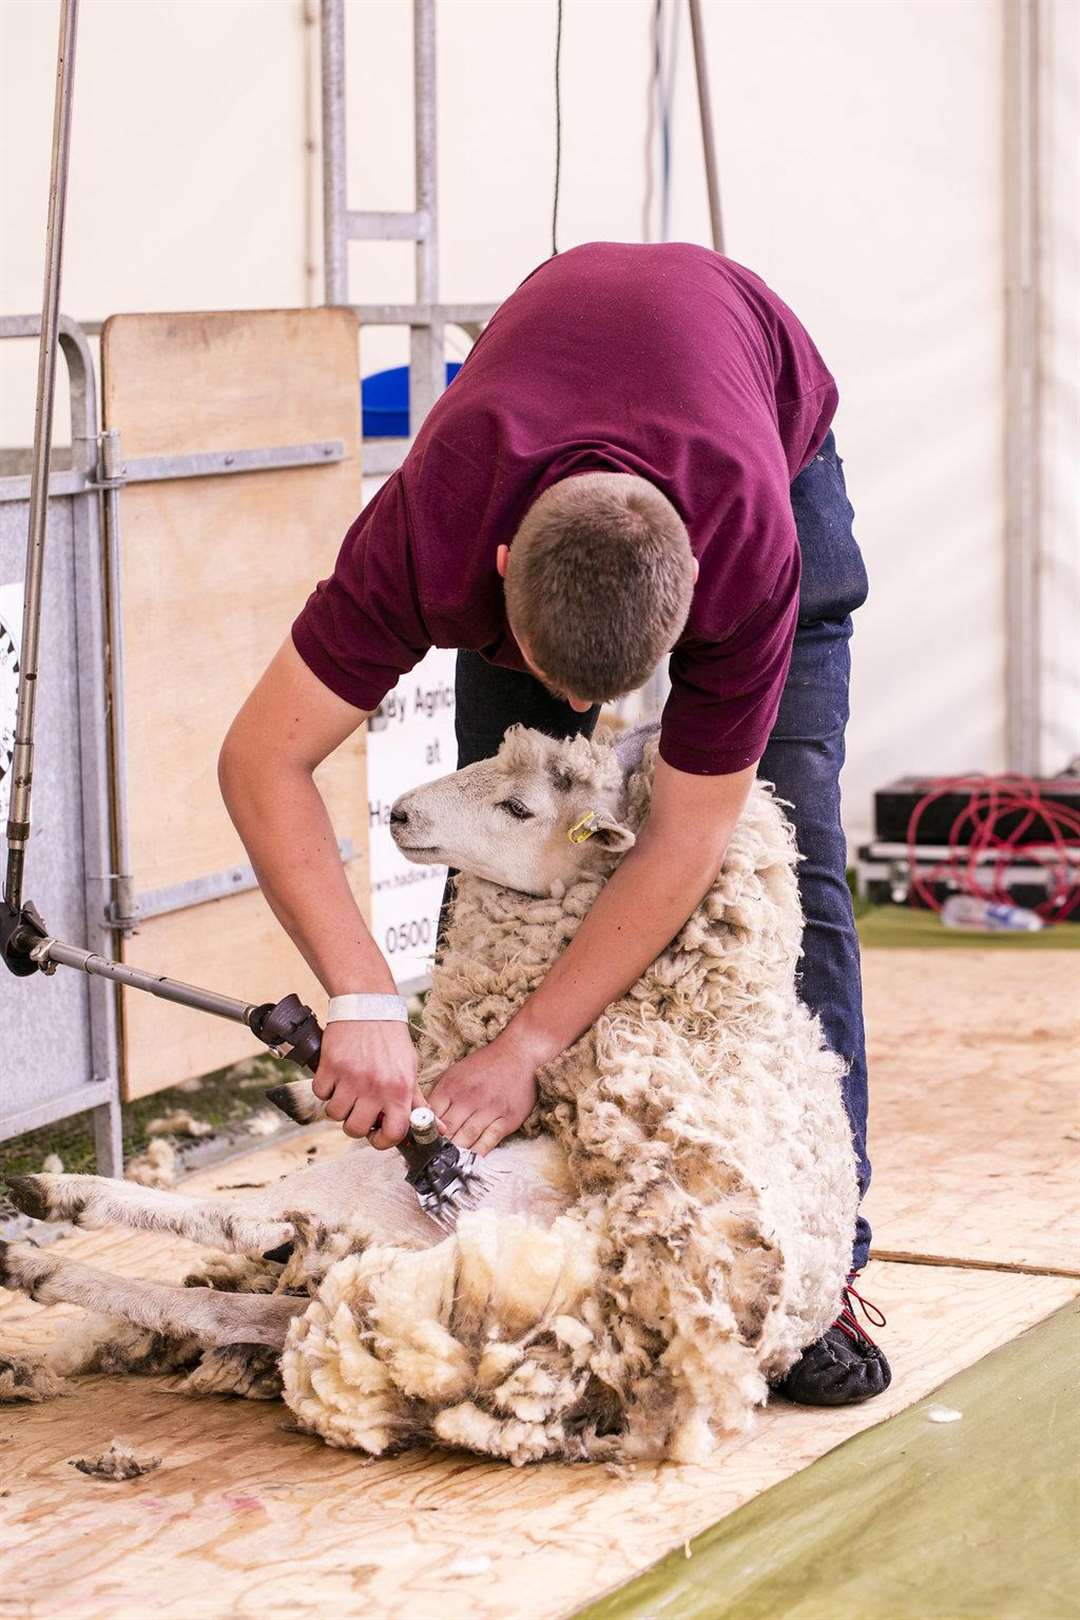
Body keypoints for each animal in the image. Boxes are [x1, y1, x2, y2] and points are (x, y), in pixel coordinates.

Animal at [0, 729, 861, 1464]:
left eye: (519, 807)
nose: (402, 813)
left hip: (402, 1207)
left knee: (255, 1225)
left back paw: (49, 1207)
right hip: (379, 1271)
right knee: (252, 1301)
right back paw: (39, 1268)